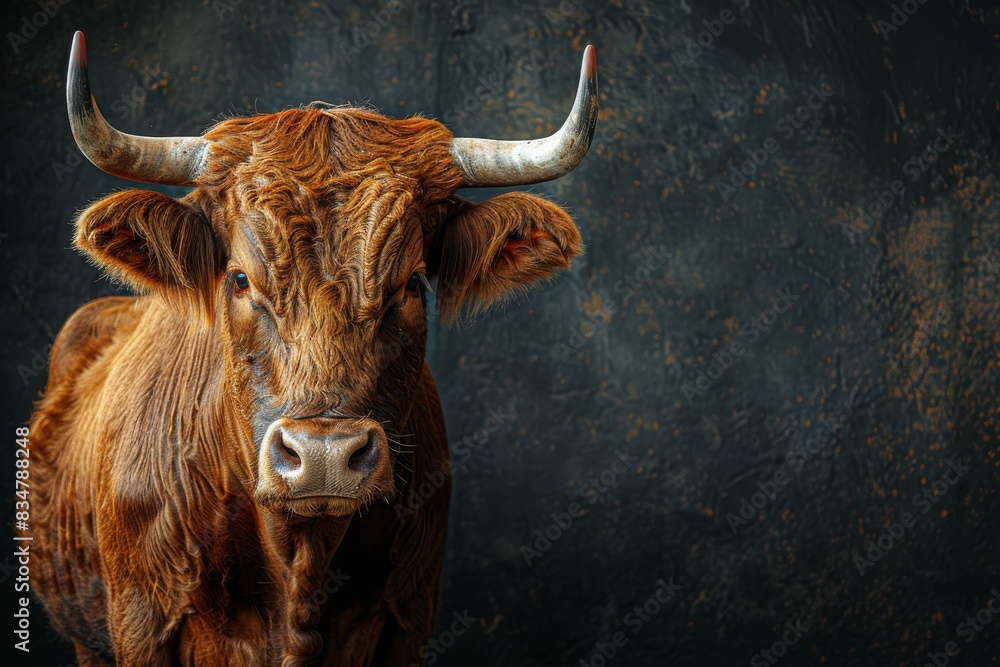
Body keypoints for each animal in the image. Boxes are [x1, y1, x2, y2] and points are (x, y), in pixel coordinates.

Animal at [18, 31, 597, 666]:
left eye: (412, 283)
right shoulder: (141, 623)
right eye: (239, 279)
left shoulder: (410, 617)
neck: (298, 564)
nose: (324, 456)